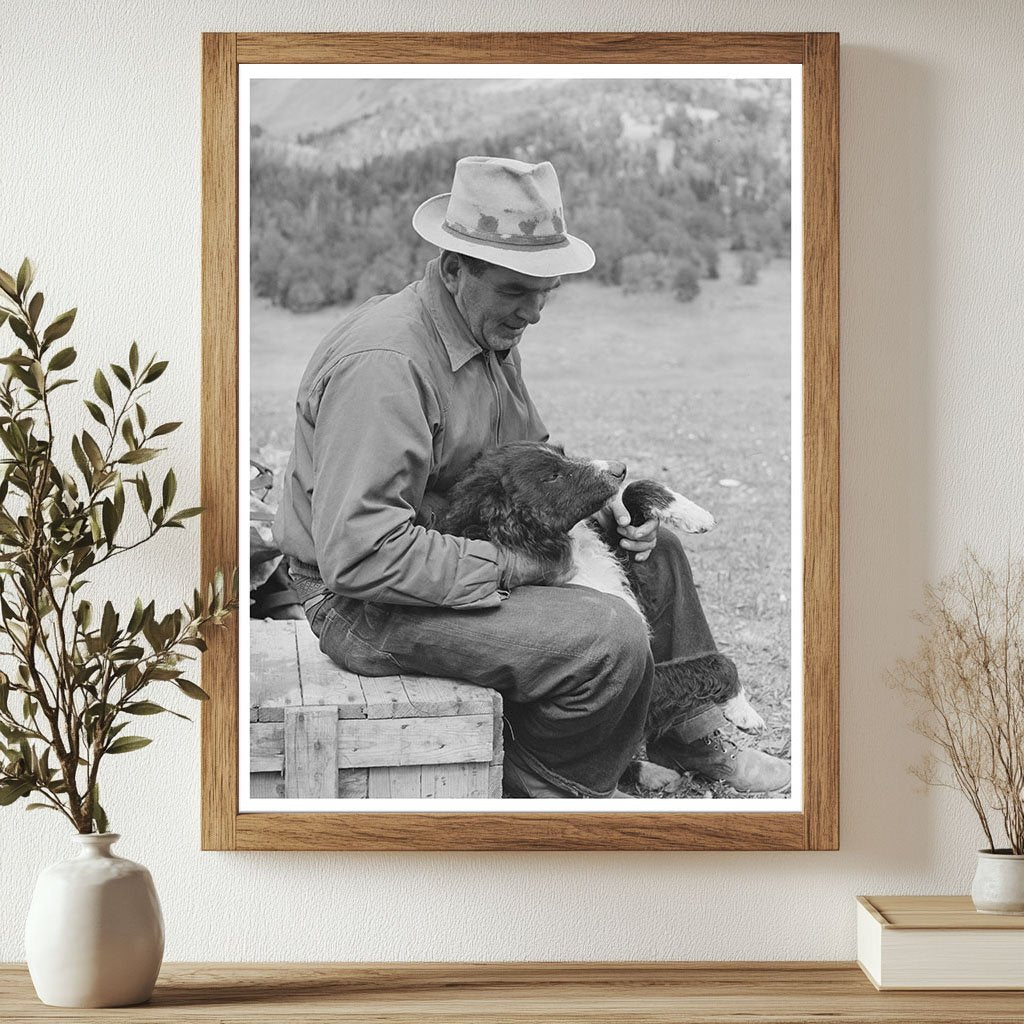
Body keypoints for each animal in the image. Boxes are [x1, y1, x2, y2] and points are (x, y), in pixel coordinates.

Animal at [440, 440, 770, 790]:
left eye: (562, 452)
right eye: (552, 476)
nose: (619, 467)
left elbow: (634, 493)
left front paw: (692, 512)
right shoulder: (643, 690)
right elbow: (714, 663)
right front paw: (743, 709)